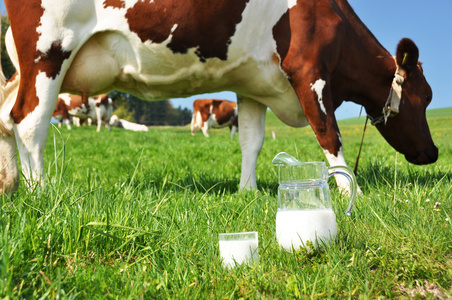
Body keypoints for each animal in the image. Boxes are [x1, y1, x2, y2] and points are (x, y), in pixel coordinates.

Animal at [0, 0, 438, 195]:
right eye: (426, 97)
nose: (433, 152)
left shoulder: (253, 83)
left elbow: (251, 141)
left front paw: (248, 191)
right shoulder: (309, 72)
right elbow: (329, 134)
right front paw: (353, 193)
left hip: (27, 66)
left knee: (7, 116)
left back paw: (10, 184)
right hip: (49, 49)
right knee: (29, 121)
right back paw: (41, 192)